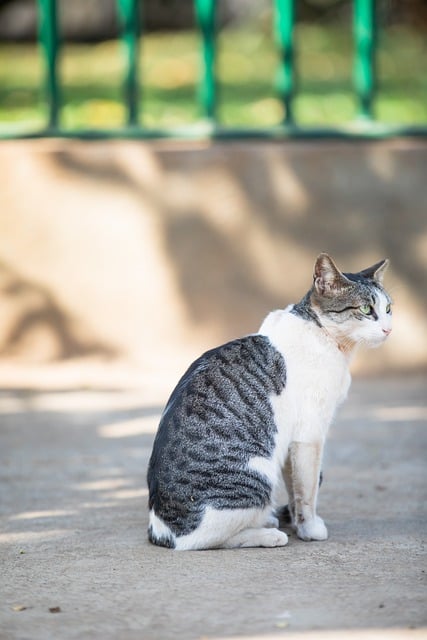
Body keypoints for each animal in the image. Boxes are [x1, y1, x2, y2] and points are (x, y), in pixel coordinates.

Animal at [145, 254, 392, 552]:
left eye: (388, 309)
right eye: (367, 309)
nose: (389, 329)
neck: (324, 336)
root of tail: (162, 531)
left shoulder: (289, 441)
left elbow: (295, 487)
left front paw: (298, 523)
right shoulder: (309, 435)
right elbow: (308, 490)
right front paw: (310, 528)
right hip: (257, 475)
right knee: (205, 540)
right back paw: (267, 534)